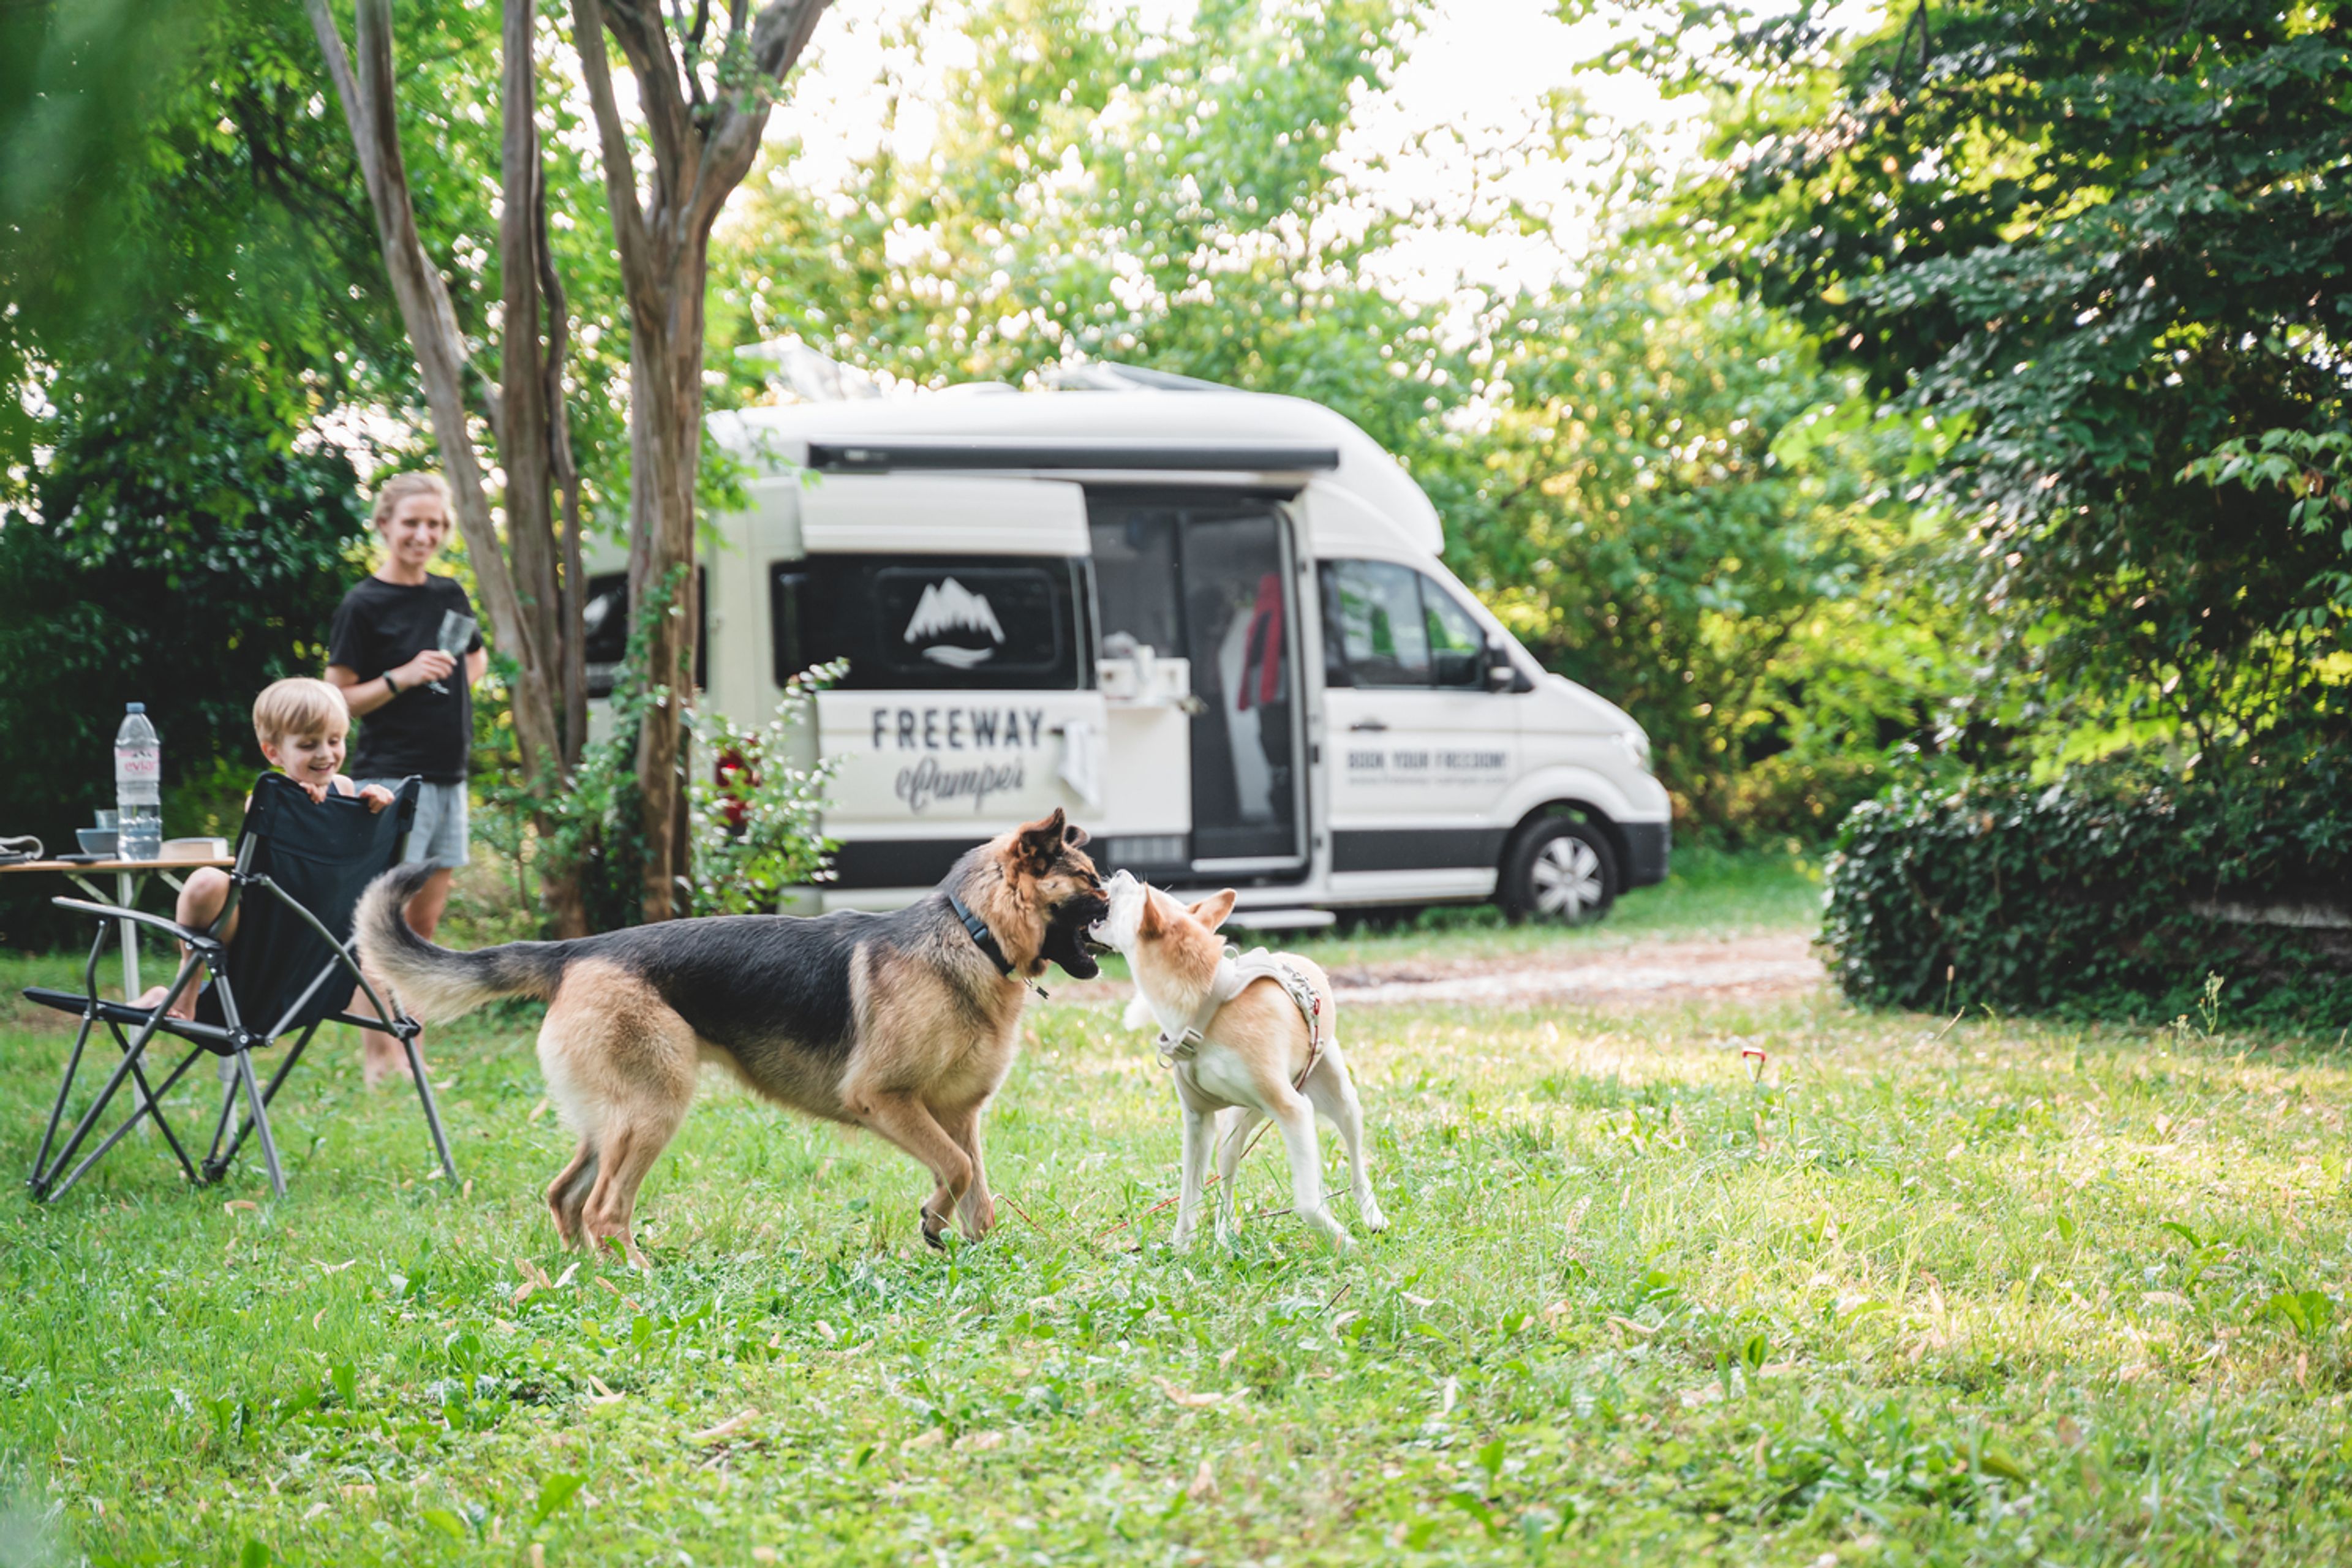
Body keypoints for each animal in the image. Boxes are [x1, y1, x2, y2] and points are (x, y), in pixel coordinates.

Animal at [353, 809, 1105, 1260]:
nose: (1124, 895)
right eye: (1093, 883)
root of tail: (575, 950)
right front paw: (931, 1220)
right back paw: (635, 1275)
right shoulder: (885, 1100)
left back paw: (581, 1277)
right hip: (653, 1112)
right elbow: (954, 1169)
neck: (972, 934)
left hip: (613, 1119)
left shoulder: (959, 1113)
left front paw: (966, 1247)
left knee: (564, 1194)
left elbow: (978, 1190)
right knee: (603, 1208)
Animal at [1082, 870, 1373, 1250]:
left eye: (1138, 893)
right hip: (1236, 1126)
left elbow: (1308, 1202)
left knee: (1356, 1165)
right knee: (1227, 1179)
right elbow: (1189, 1196)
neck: (1205, 1009)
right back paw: (1223, 1235)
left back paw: (1372, 1216)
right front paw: (1181, 1249)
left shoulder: (1294, 1111)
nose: (1119, 873)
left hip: (1339, 1100)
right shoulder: (1198, 1121)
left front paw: (1343, 1241)